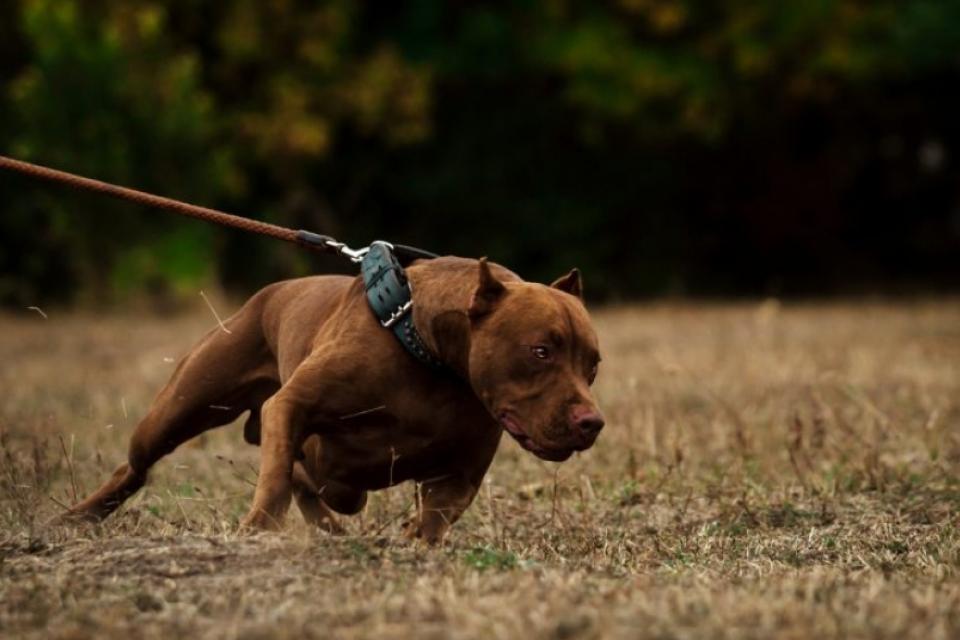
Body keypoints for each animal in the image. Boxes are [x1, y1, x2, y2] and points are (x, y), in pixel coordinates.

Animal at [71, 258, 604, 544]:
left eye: (593, 365)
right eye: (540, 351)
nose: (591, 422)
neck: (435, 362)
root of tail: (273, 290)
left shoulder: (461, 473)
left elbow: (435, 517)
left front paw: (414, 541)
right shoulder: (290, 406)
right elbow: (274, 480)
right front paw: (257, 529)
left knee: (314, 481)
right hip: (178, 409)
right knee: (135, 466)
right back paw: (79, 515)